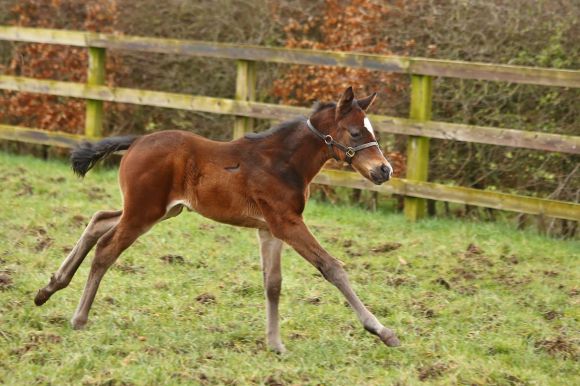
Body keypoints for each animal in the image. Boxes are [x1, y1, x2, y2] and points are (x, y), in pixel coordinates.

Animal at [34, 86, 402, 350]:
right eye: (355, 132)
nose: (384, 170)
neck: (282, 162)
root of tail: (137, 140)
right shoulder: (287, 222)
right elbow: (332, 267)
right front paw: (382, 331)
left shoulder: (271, 229)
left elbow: (273, 284)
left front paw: (275, 344)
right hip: (143, 212)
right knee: (106, 249)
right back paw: (79, 318)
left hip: (158, 210)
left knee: (98, 220)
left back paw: (48, 289)